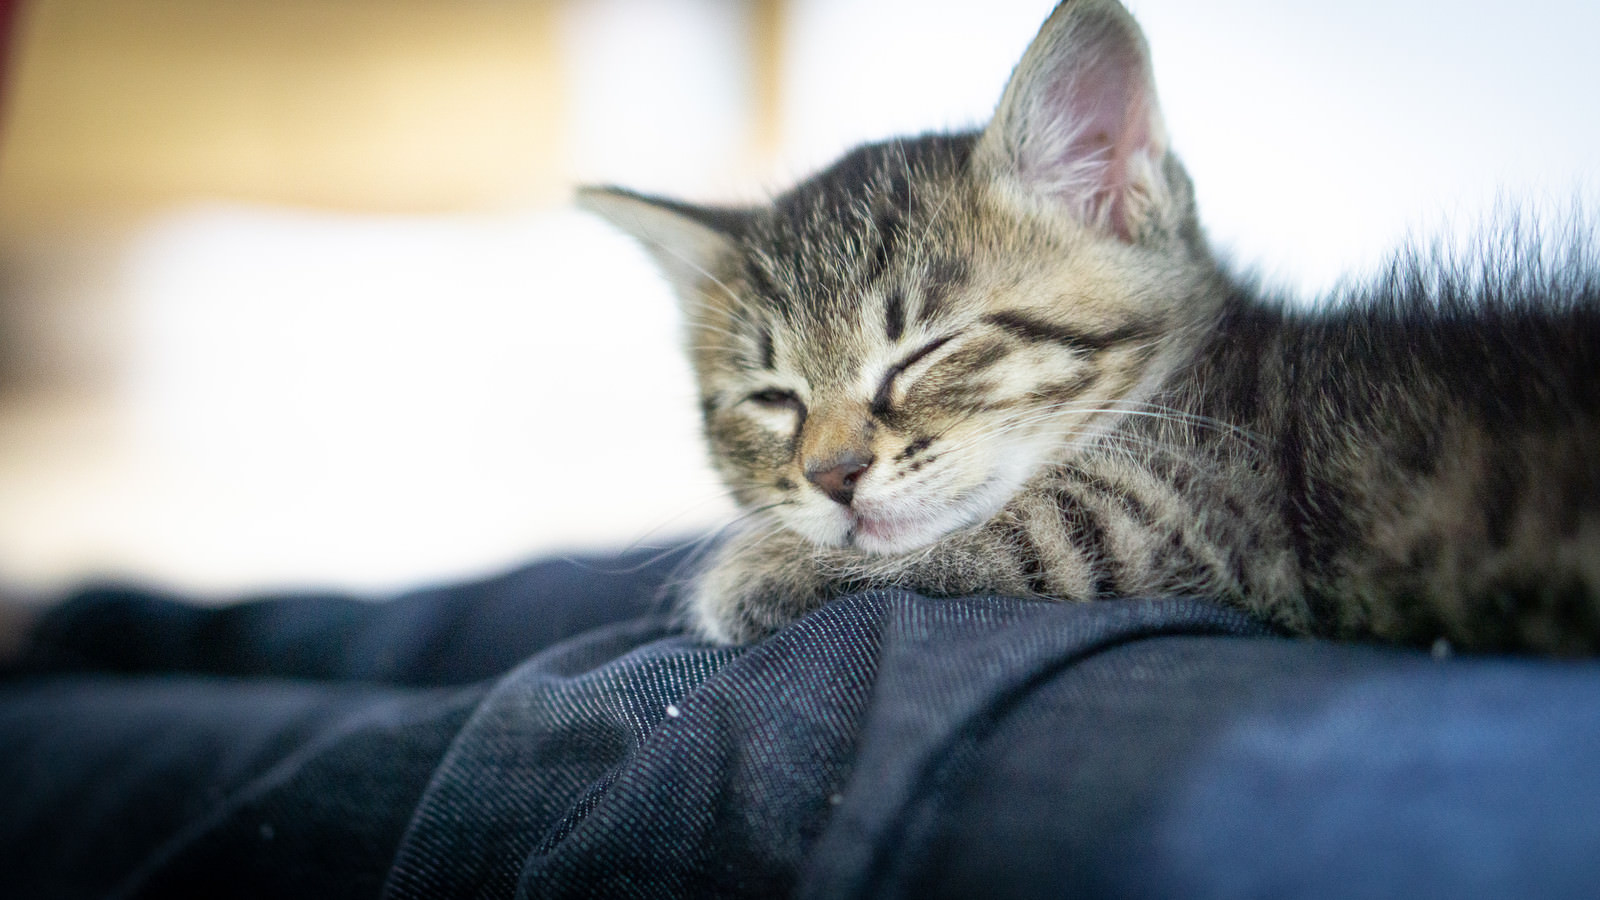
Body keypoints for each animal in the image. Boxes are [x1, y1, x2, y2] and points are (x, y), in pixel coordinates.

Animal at [585, 0, 1600, 646]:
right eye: (772, 399)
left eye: (928, 352)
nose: (831, 476)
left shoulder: (1195, 514)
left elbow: (1005, 529)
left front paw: (750, 569)